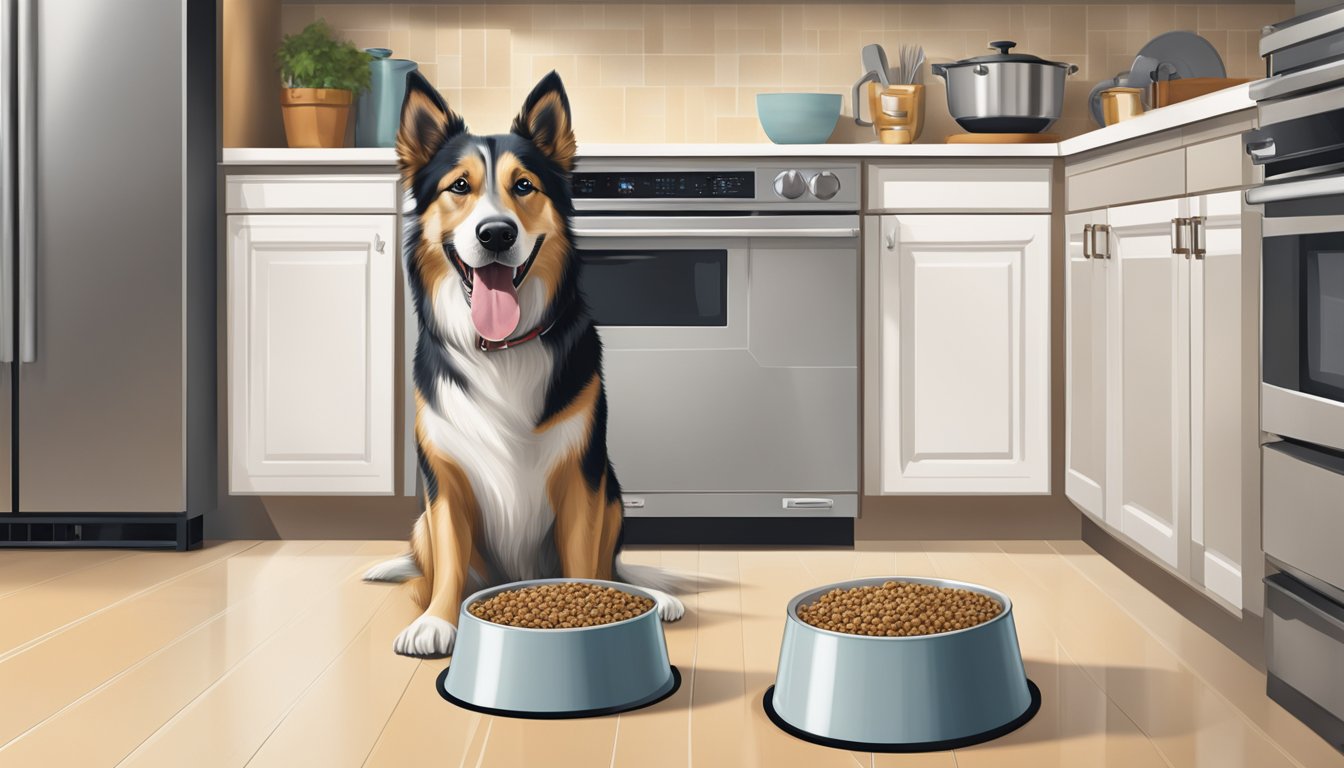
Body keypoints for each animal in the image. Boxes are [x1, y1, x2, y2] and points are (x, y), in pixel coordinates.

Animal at [360, 71, 682, 659]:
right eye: (459, 187)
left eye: (525, 185)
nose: (496, 234)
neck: (502, 350)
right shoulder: (444, 477)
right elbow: (449, 562)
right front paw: (437, 622)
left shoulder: (582, 477)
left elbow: (586, 562)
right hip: (422, 522)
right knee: (426, 564)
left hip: (613, 491)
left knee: (613, 564)